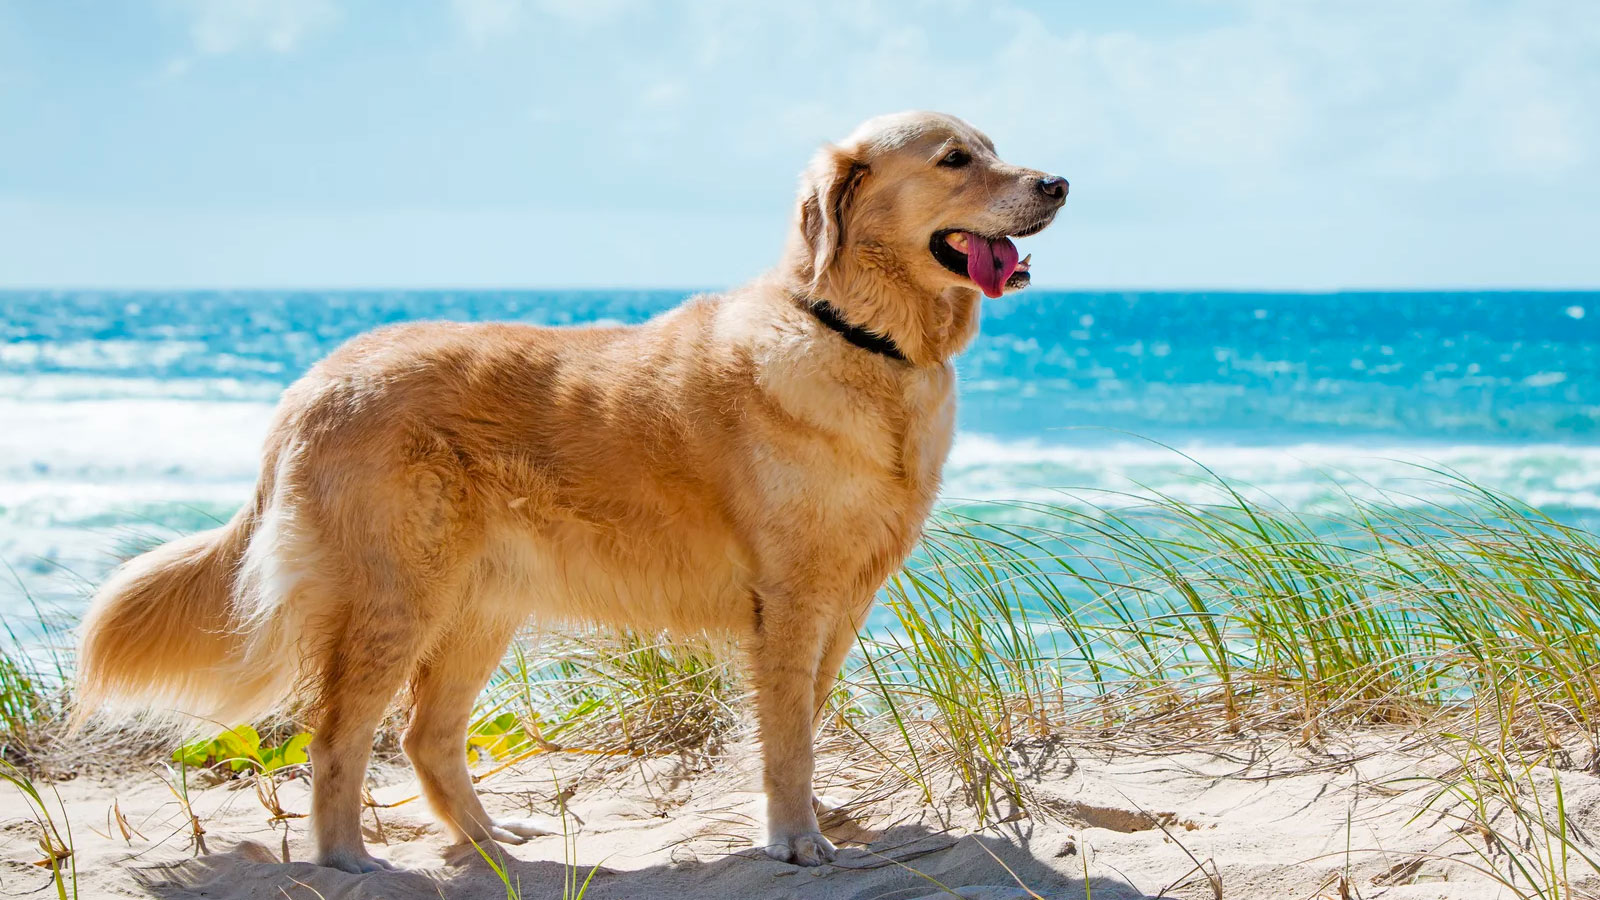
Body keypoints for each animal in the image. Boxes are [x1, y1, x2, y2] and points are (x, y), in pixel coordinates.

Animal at [78, 110, 1075, 871]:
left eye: (993, 147)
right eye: (955, 160)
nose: (1060, 183)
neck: (862, 336)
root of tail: (318, 378)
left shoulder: (843, 597)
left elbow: (806, 719)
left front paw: (813, 821)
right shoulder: (791, 600)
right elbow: (788, 735)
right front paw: (795, 839)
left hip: (480, 604)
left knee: (425, 736)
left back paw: (492, 844)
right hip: (397, 599)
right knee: (337, 739)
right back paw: (350, 861)